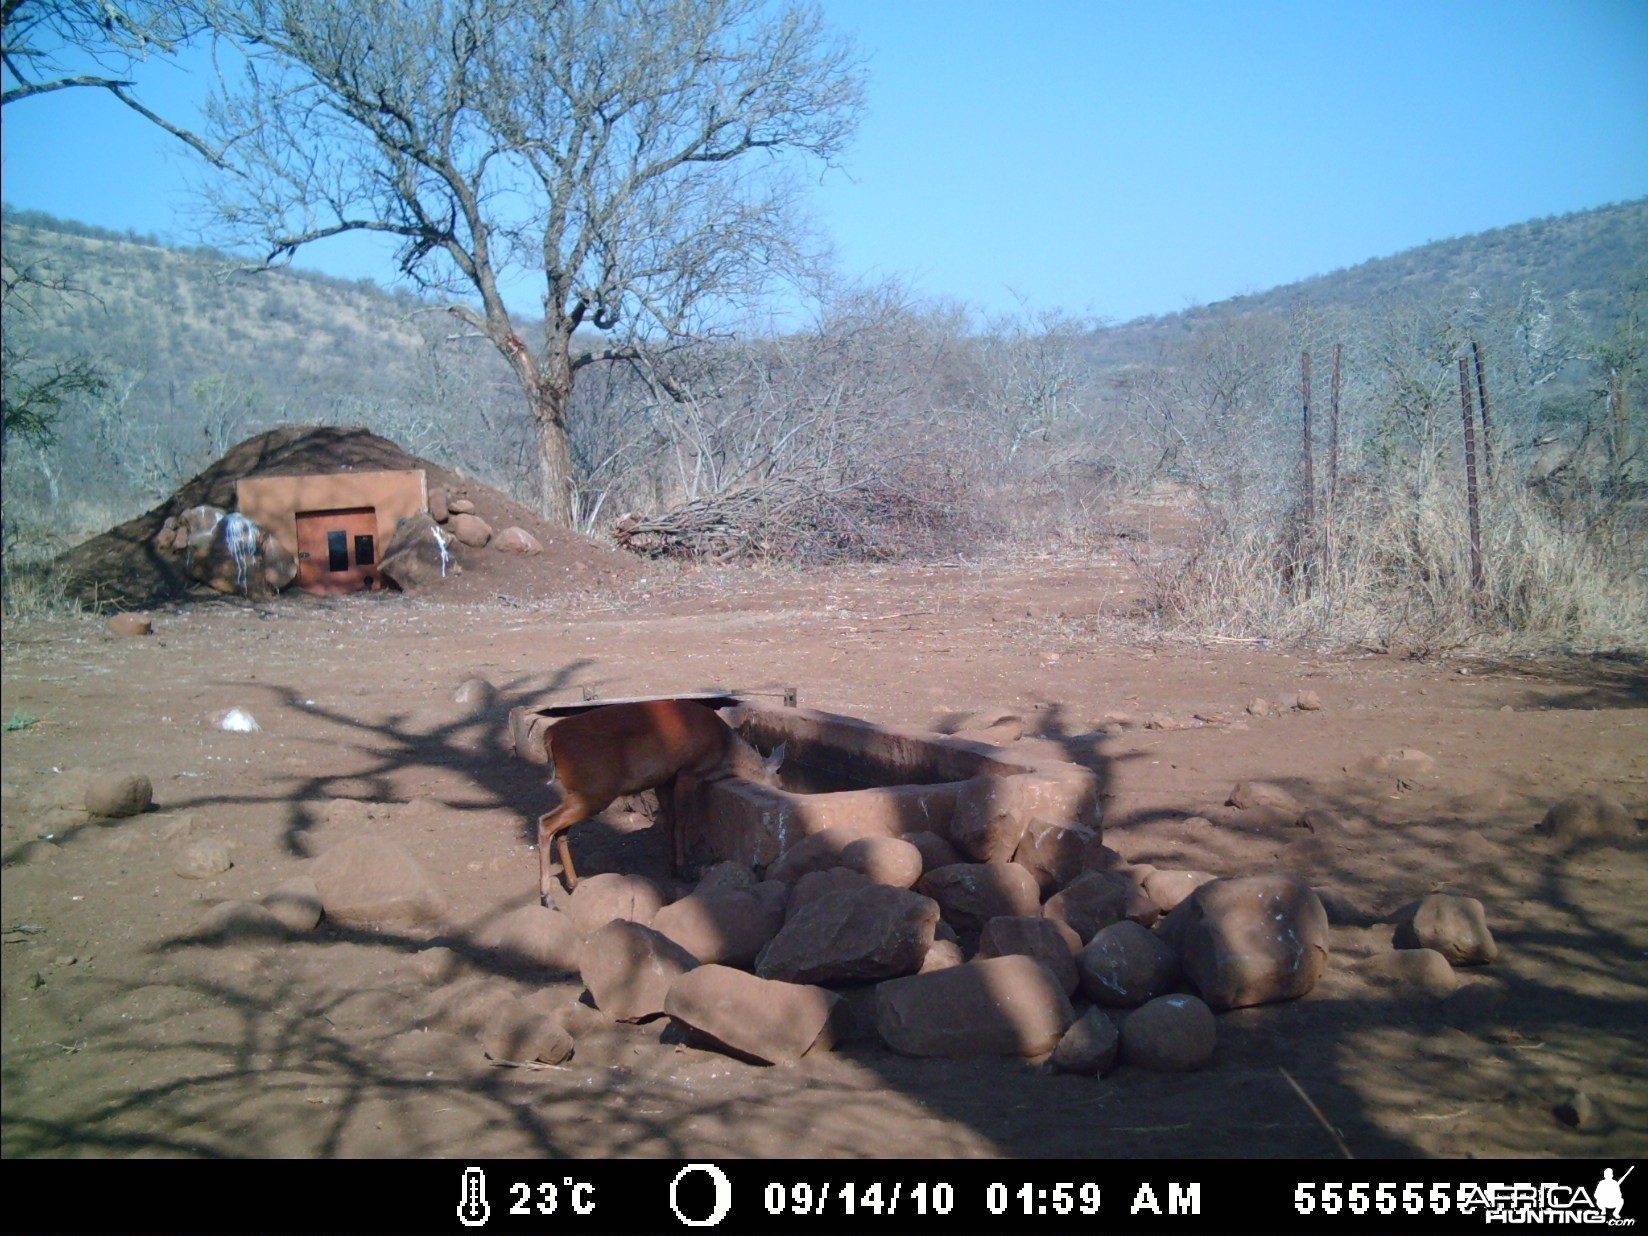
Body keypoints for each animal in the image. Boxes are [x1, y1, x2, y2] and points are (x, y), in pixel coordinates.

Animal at [530, 705, 781, 903]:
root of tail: (550, 735)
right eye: (778, 784)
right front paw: (683, 868)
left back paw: (572, 883)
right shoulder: (688, 772)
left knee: (560, 830)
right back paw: (548, 897)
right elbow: (681, 822)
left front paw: (671, 865)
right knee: (545, 822)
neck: (722, 752)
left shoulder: (664, 779)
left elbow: (669, 821)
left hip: (580, 792)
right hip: (595, 790)